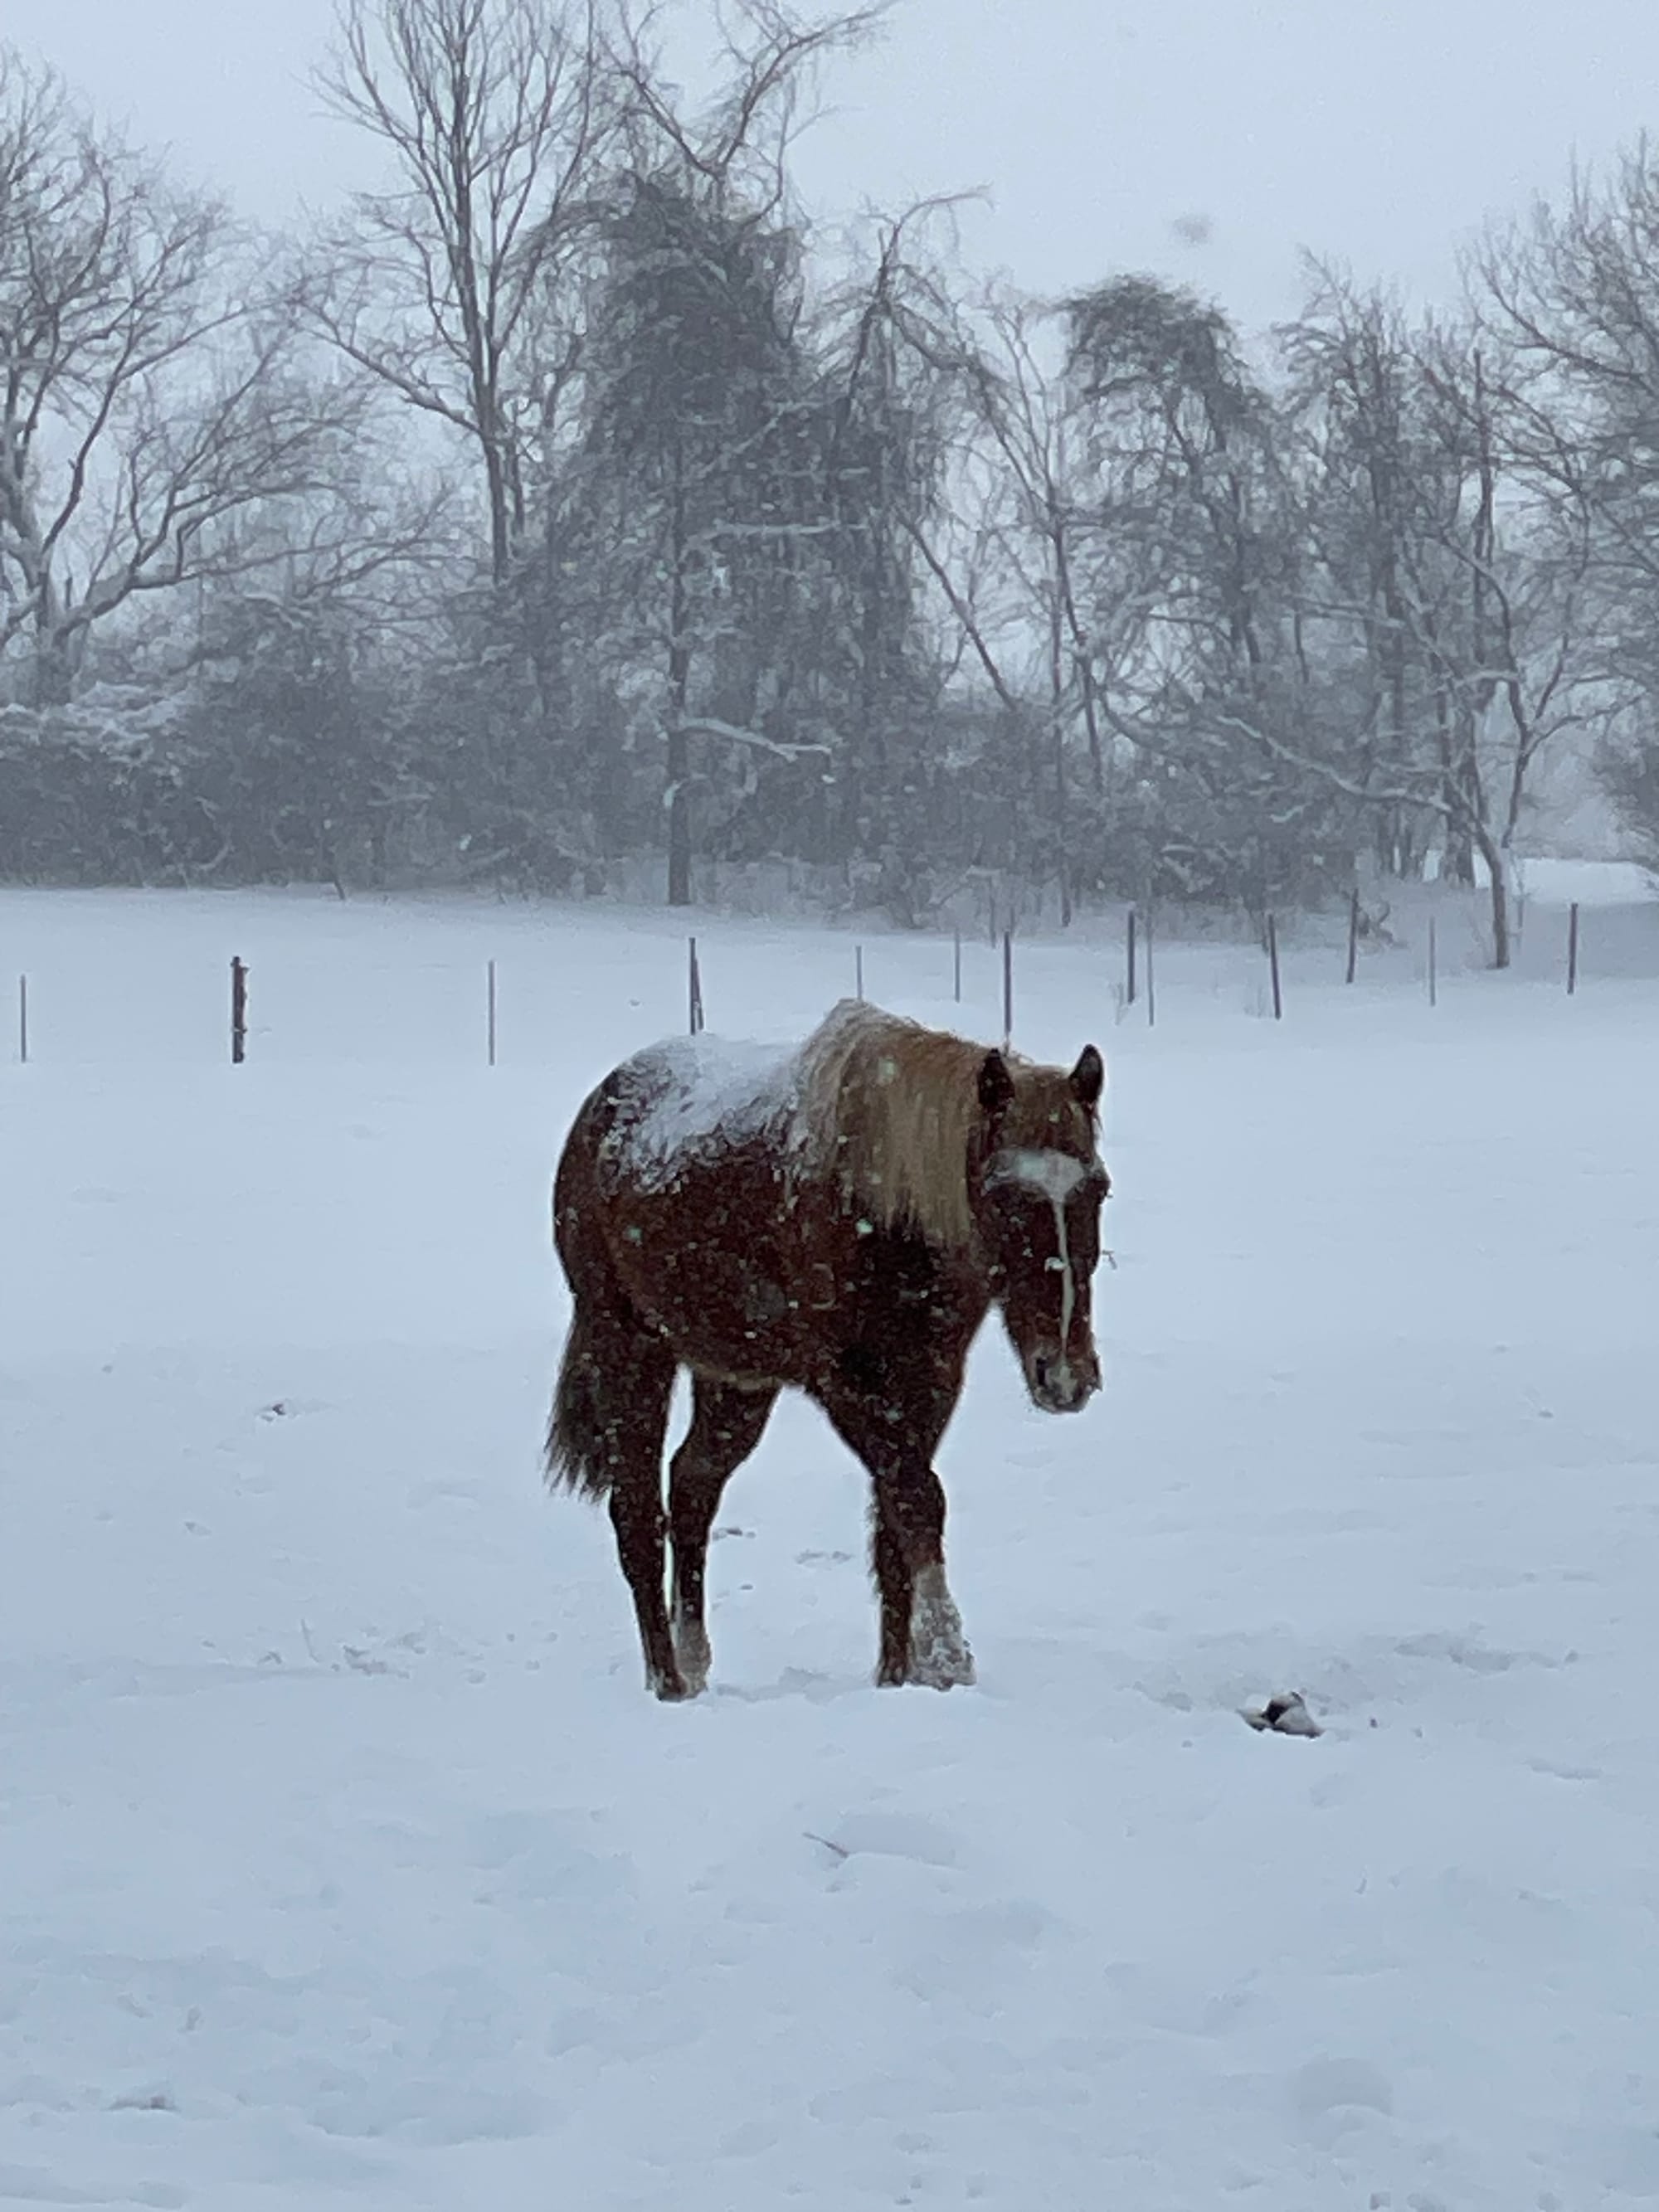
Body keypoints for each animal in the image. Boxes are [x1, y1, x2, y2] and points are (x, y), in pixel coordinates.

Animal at [545, 997, 1111, 1700]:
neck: (887, 1208)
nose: (1065, 1374)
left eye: (1098, 1188)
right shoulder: (844, 1382)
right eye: (1003, 1194)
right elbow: (917, 1496)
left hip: (736, 1379)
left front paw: (898, 1675)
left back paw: (693, 1658)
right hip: (628, 1348)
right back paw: (668, 1680)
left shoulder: (930, 1381)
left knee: (692, 1488)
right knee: (638, 1513)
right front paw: (947, 1656)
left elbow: (894, 1517)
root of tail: (599, 1107)